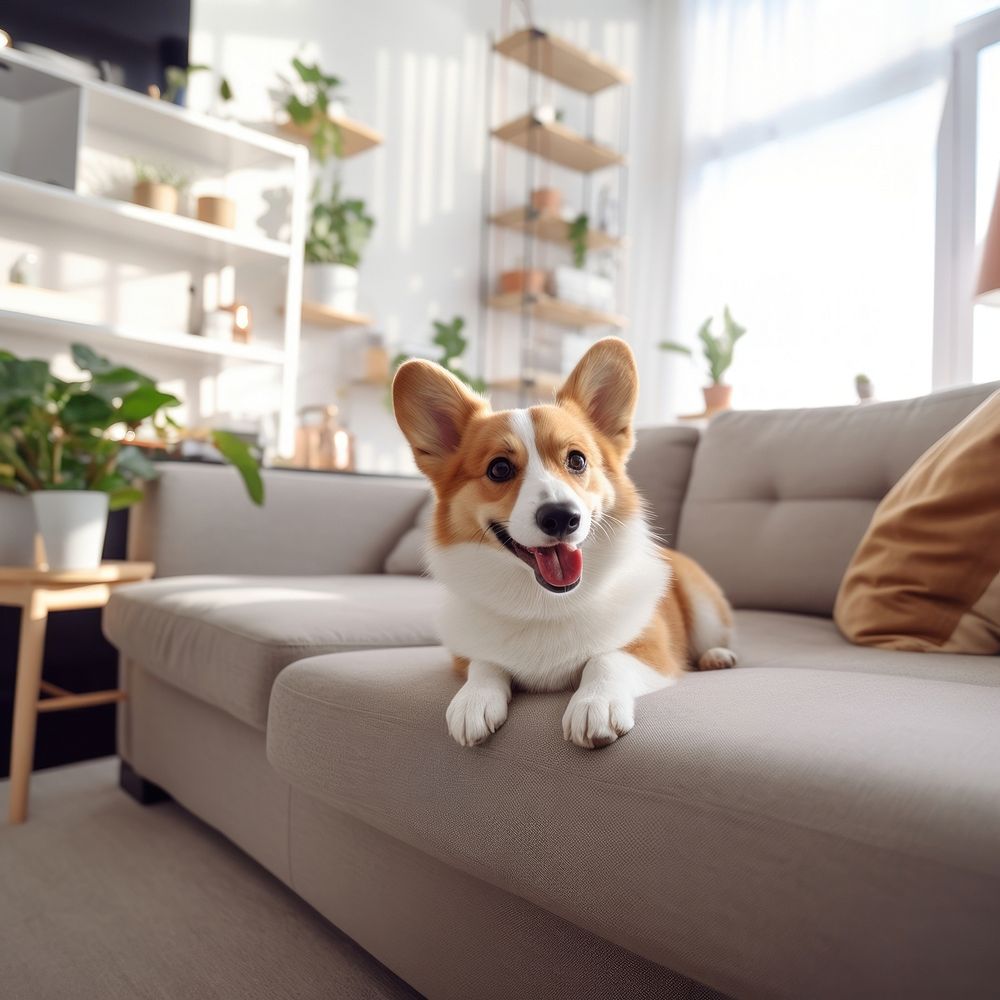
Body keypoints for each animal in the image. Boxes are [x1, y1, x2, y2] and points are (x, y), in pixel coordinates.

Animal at [392, 338, 736, 752]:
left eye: (576, 460)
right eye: (499, 469)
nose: (561, 517)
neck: (546, 604)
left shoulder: (654, 653)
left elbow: (605, 659)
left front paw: (595, 704)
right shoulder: (466, 655)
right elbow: (484, 664)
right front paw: (472, 701)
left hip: (703, 605)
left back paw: (717, 656)